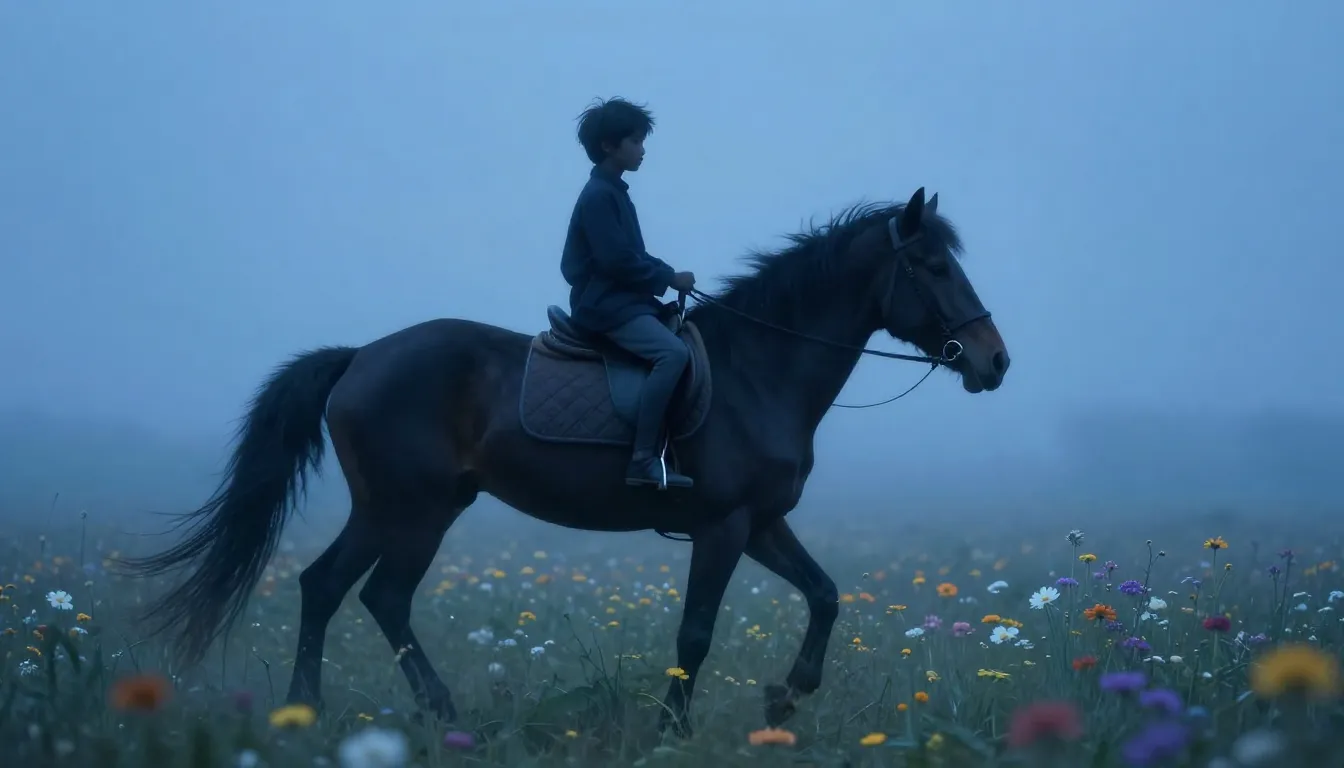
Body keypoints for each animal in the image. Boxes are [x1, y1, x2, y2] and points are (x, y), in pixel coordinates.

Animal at [116, 186, 1009, 736]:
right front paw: (673, 729)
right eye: (933, 266)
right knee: (381, 596)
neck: (761, 369)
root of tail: (361, 357)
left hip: (394, 507)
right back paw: (438, 717)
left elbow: (825, 596)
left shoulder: (761, 524)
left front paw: (783, 699)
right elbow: (695, 633)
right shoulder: (723, 528)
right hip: (415, 509)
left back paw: (313, 713)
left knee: (328, 587)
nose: (995, 362)